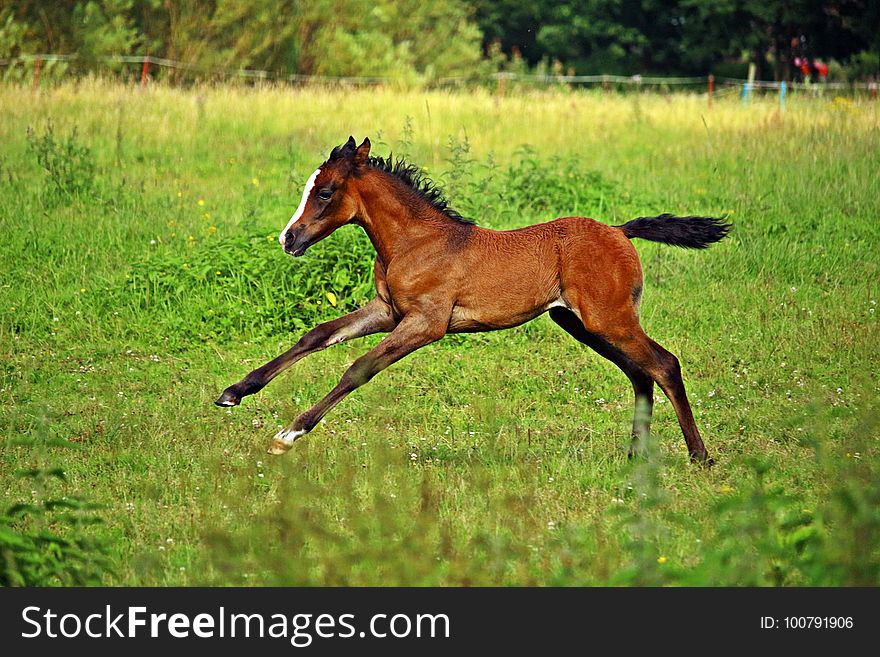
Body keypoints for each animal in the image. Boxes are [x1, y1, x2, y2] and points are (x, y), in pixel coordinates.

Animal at [217, 136, 732, 464]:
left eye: (324, 192)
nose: (289, 239)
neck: (416, 241)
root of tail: (620, 231)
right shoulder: (388, 312)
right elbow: (318, 334)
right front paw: (234, 393)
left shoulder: (426, 324)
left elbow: (358, 368)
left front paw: (288, 434)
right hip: (582, 324)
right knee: (639, 373)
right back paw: (634, 455)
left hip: (609, 320)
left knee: (664, 365)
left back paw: (700, 456)